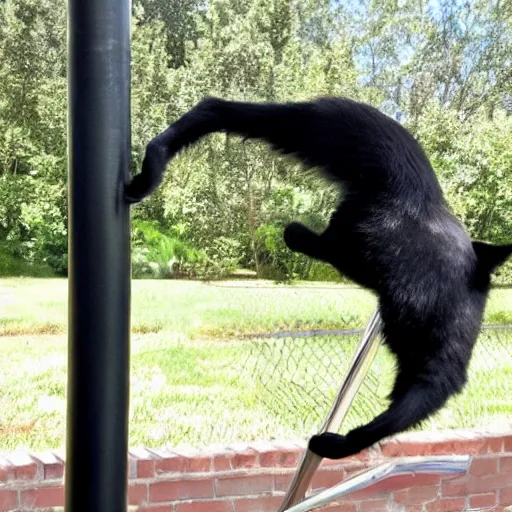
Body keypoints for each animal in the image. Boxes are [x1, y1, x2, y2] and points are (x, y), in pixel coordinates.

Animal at [125, 96, 512, 460]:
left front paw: (339, 443)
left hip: (317, 134)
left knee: (223, 110)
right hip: (319, 130)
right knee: (220, 108)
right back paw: (152, 166)